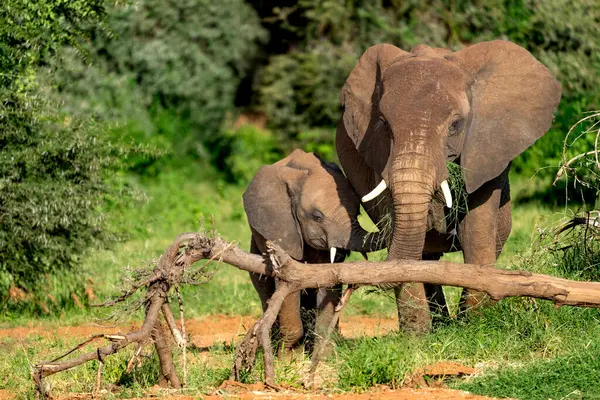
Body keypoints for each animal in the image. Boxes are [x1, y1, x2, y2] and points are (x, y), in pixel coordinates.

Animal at [245, 149, 382, 354]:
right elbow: (287, 286)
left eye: (358, 213)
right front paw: (288, 357)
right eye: (317, 217)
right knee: (264, 288)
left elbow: (328, 282)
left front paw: (325, 355)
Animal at [336, 40, 560, 332]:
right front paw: (417, 336)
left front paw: (477, 325)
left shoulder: (486, 151)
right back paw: (440, 326)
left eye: (455, 125)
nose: (352, 284)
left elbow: (475, 231)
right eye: (383, 124)